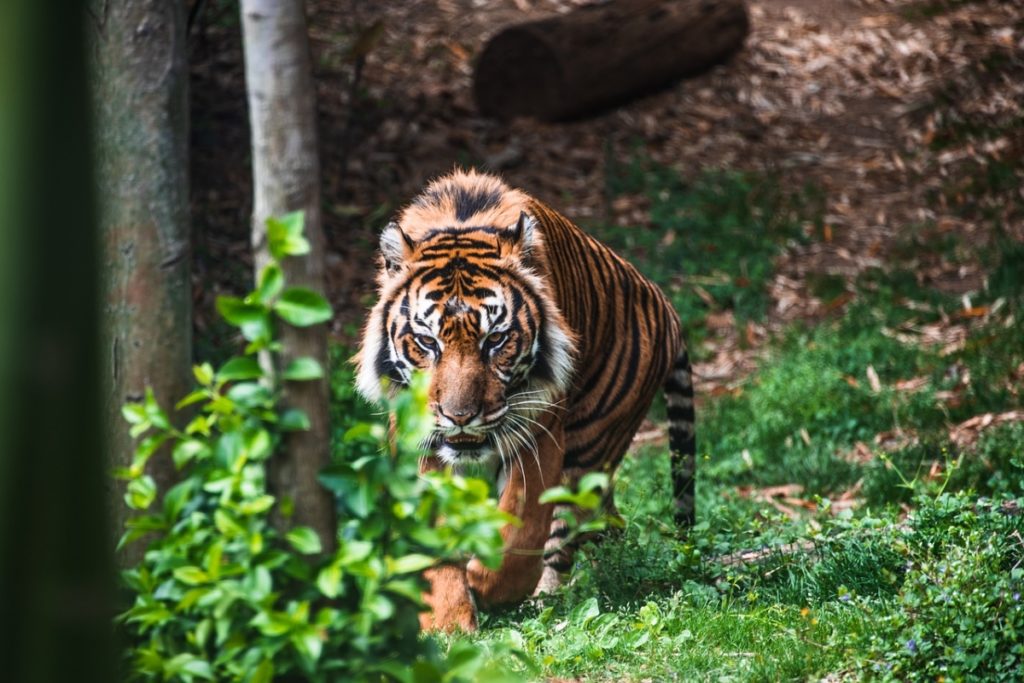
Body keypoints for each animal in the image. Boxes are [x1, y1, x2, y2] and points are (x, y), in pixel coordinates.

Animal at [354, 167, 696, 634]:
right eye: (427, 342)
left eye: (495, 340)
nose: (460, 417)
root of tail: (668, 308)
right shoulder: (419, 440)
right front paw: (447, 625)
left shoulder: (540, 430)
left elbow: (523, 525)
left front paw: (487, 585)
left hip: (590, 447)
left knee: (566, 532)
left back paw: (547, 600)